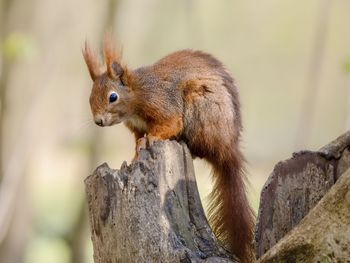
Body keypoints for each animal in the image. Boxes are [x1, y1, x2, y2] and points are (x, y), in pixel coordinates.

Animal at [83, 37, 256, 263]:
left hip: (201, 108)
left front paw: (152, 139)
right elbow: (138, 139)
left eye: (113, 97)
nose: (98, 121)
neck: (138, 92)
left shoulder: (163, 104)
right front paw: (135, 154)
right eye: (90, 98)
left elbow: (171, 124)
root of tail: (228, 148)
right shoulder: (137, 128)